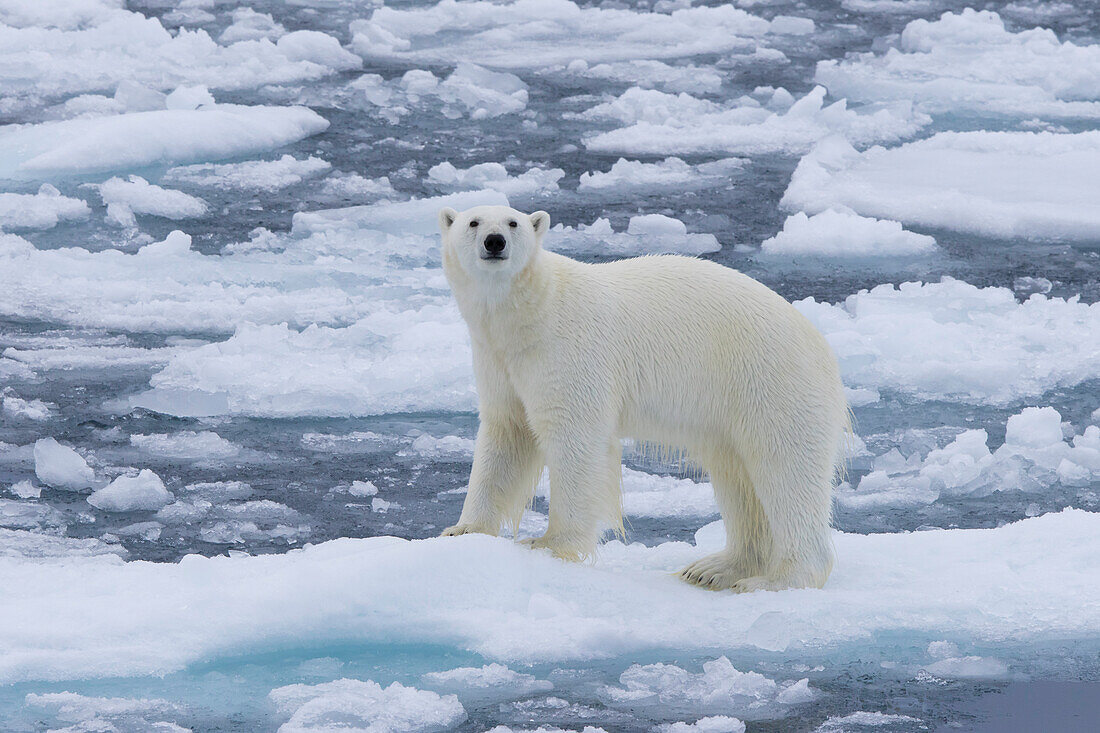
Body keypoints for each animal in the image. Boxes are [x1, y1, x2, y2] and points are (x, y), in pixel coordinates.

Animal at [433, 202, 844, 589]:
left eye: (513, 223)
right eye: (473, 222)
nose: (494, 242)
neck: (531, 313)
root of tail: (821, 344)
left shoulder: (568, 351)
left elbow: (574, 438)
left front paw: (548, 543)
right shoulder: (499, 360)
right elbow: (506, 436)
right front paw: (462, 529)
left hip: (771, 382)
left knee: (785, 470)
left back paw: (778, 579)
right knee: (738, 479)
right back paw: (713, 569)